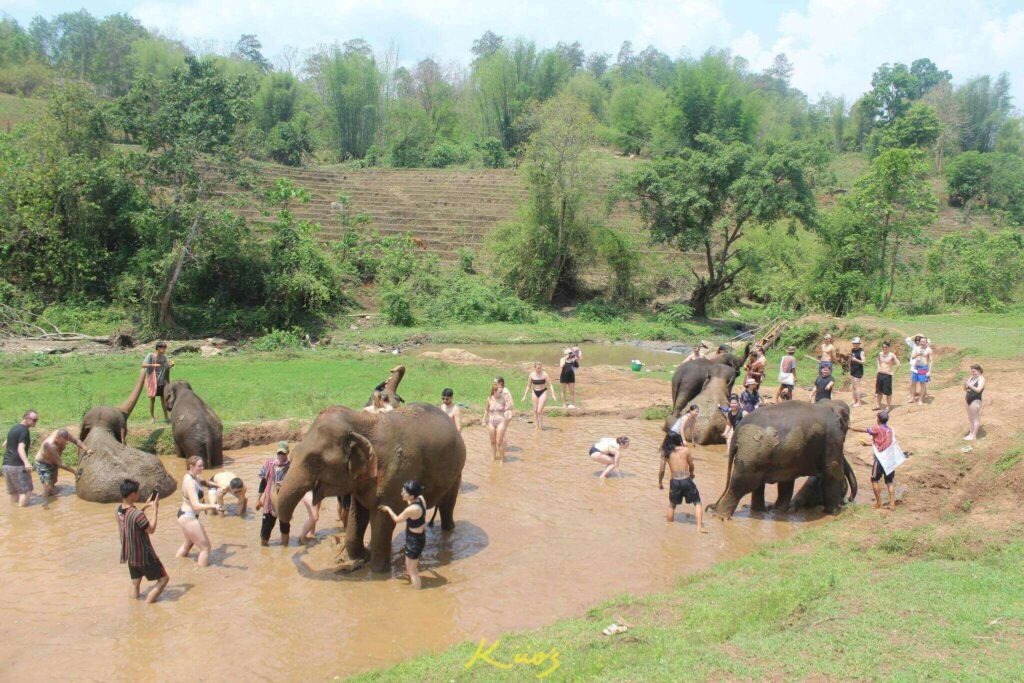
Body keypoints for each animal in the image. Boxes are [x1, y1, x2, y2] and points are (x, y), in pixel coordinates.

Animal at [272, 403, 464, 573]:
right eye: (293, 453)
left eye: (314, 459)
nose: (292, 543)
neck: (362, 421)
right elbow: (357, 513)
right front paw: (359, 558)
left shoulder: (397, 474)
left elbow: (382, 520)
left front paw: (377, 572)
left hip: (457, 469)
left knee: (447, 506)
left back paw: (448, 533)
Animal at [704, 401, 856, 518]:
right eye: (846, 425)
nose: (849, 500)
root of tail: (737, 430)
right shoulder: (833, 438)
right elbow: (833, 473)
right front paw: (834, 513)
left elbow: (786, 481)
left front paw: (779, 511)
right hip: (751, 454)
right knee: (741, 485)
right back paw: (721, 516)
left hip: (756, 456)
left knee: (756, 484)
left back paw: (760, 512)